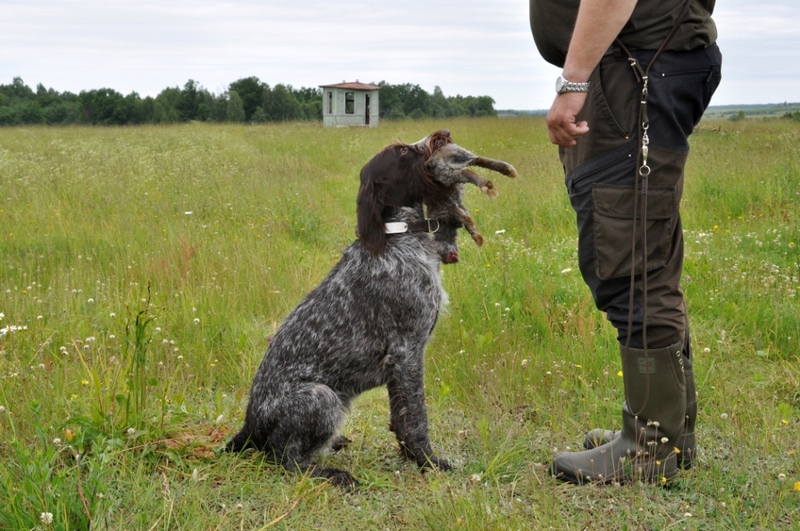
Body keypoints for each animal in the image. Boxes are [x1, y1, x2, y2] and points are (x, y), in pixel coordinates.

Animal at [225, 130, 516, 486]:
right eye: (402, 152)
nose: (444, 135)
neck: (400, 236)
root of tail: (249, 426)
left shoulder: (398, 364)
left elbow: (401, 417)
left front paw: (411, 458)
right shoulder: (407, 352)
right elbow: (416, 418)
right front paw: (428, 462)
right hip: (322, 396)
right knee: (285, 458)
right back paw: (330, 473)